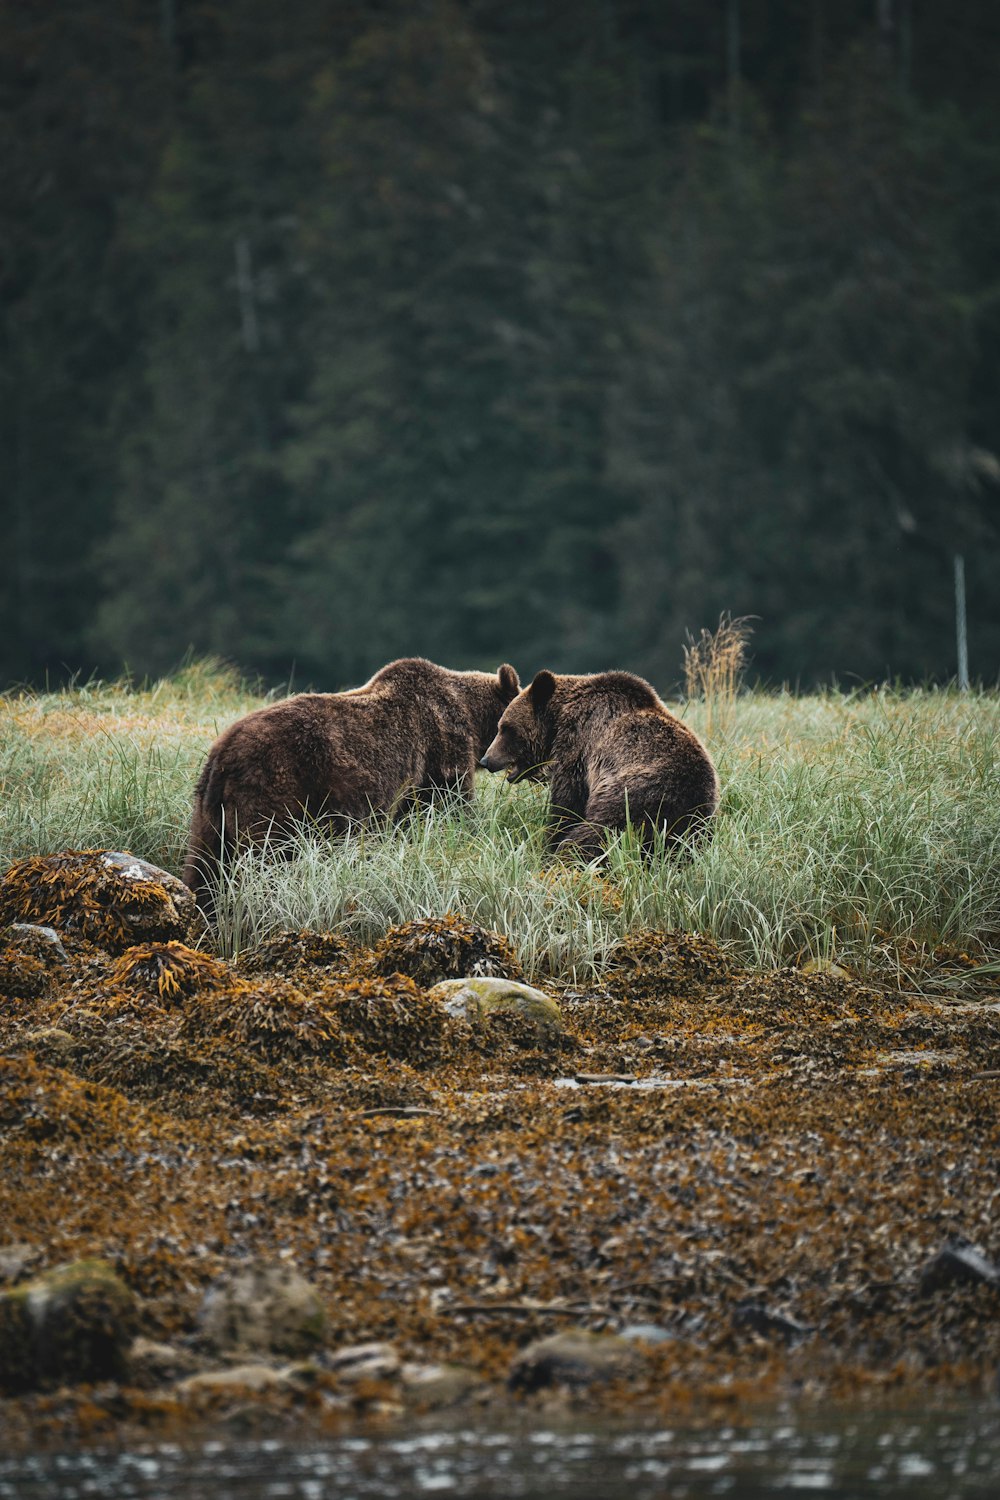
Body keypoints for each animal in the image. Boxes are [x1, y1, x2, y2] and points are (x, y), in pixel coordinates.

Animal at [182, 660, 521, 912]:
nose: (493, 762)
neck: (472, 718)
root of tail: (224, 753)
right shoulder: (440, 750)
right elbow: (449, 806)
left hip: (208, 813)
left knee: (205, 867)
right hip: (275, 789)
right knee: (266, 855)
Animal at [479, 669, 719, 858]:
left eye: (506, 728)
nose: (486, 759)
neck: (558, 722)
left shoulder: (578, 748)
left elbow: (568, 804)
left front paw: (549, 843)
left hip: (634, 801)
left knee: (590, 837)